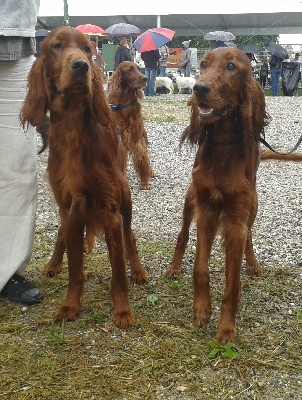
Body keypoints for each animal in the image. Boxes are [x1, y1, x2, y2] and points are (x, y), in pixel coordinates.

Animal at [19, 27, 149, 328]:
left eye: (88, 49)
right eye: (56, 46)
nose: (80, 65)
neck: (74, 128)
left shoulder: (110, 209)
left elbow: (118, 270)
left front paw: (122, 310)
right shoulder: (70, 208)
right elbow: (75, 267)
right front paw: (70, 306)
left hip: (125, 203)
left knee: (130, 237)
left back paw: (138, 271)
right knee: (61, 235)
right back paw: (53, 263)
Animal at [108, 61, 155, 189]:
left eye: (139, 69)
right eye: (129, 70)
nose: (145, 78)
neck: (125, 106)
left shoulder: (136, 139)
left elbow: (142, 159)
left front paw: (144, 182)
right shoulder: (121, 141)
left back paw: (151, 172)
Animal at [168, 47, 272, 344]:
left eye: (231, 66)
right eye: (203, 64)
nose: (199, 88)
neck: (223, 146)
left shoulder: (237, 217)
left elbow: (232, 283)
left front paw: (226, 327)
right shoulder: (206, 208)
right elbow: (200, 268)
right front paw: (201, 309)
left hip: (253, 206)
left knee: (249, 236)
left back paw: (253, 263)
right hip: (190, 199)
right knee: (182, 234)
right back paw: (173, 266)